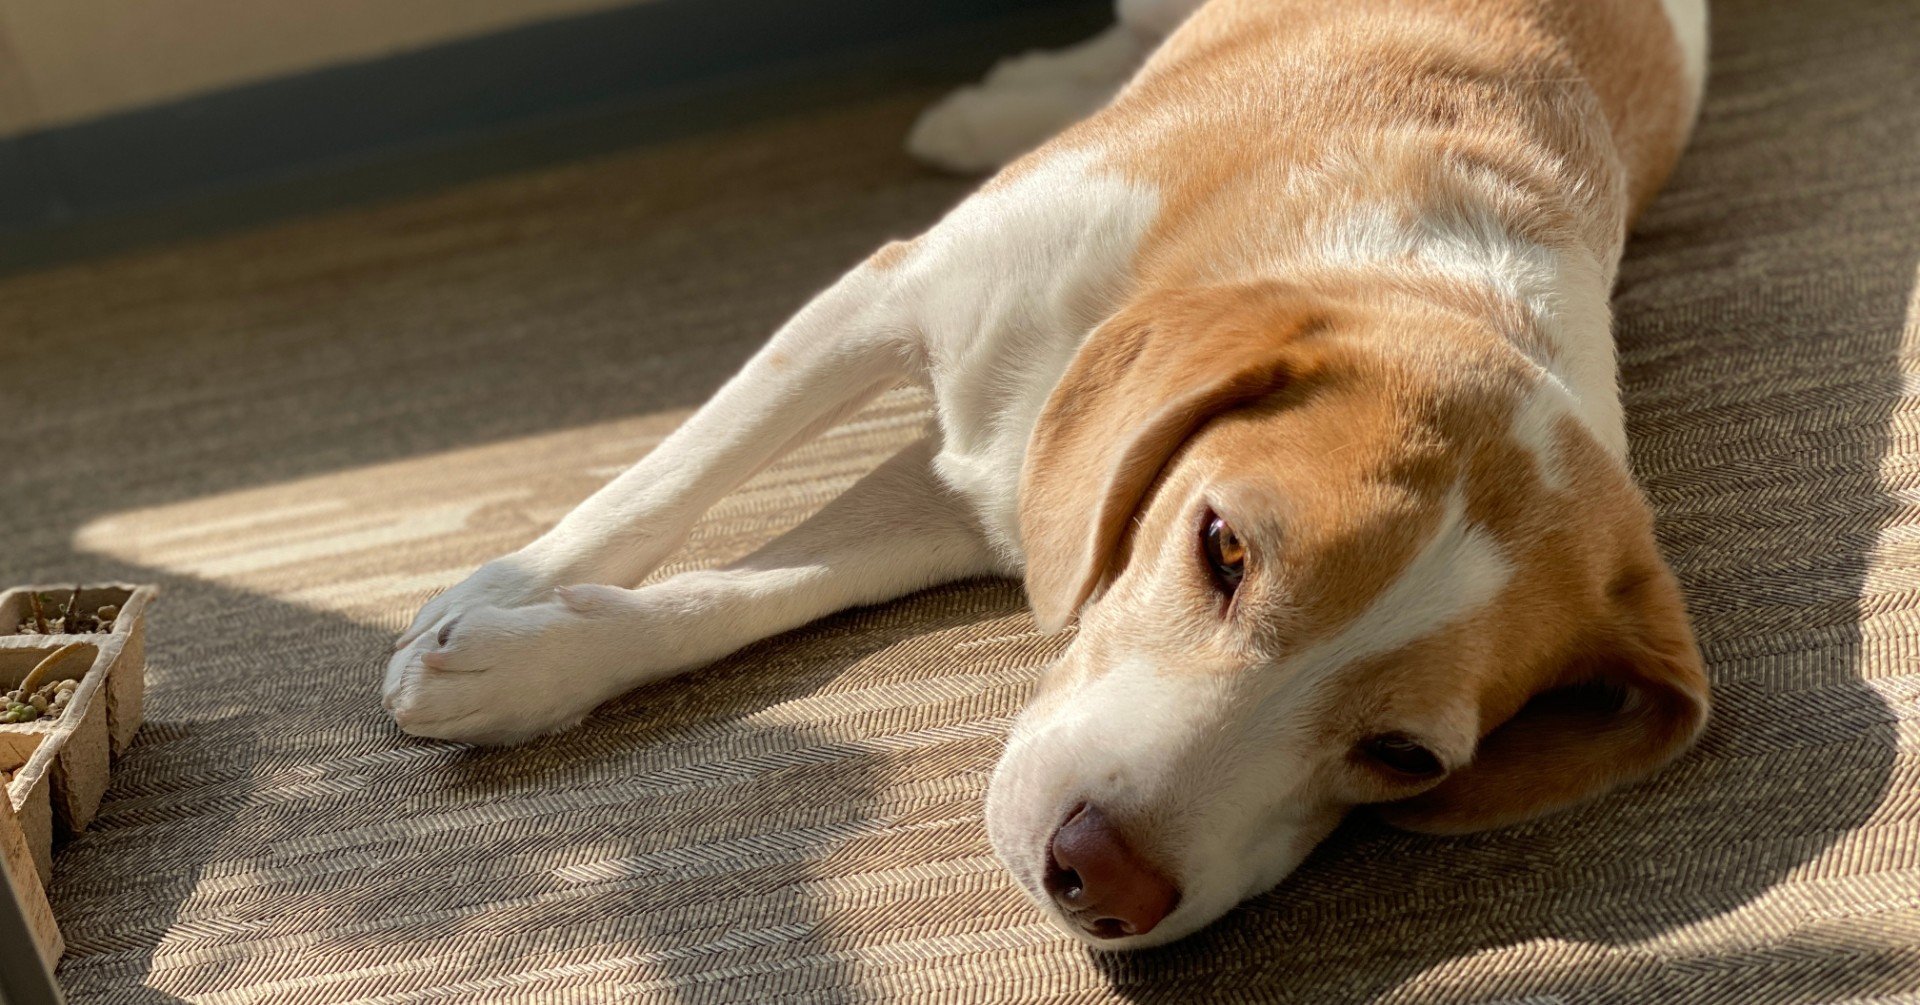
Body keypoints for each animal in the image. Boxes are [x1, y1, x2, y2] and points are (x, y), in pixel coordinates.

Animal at [378, 0, 1712, 953]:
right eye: (1223, 547)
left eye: (1405, 760)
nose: (1100, 879)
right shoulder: (890, 297)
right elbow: (674, 473)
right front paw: (501, 591)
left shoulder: (980, 496)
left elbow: (745, 594)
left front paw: (525, 664)